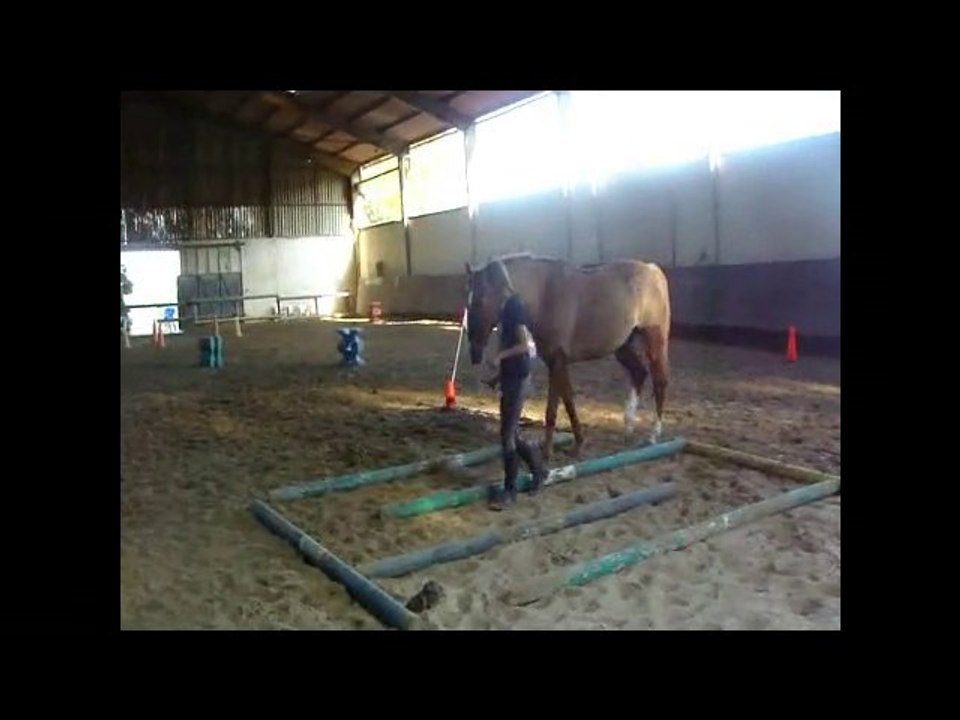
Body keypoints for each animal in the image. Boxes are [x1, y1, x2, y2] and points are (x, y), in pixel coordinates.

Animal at [465, 253, 671, 460]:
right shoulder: (556, 362)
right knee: (639, 373)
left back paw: (653, 434)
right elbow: (568, 400)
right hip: (623, 346)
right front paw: (578, 443)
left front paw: (548, 452)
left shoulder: (557, 360)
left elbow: (552, 409)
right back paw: (628, 427)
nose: (474, 353)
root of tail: (653, 270)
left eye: (480, 300)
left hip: (654, 342)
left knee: (659, 382)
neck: (544, 294)